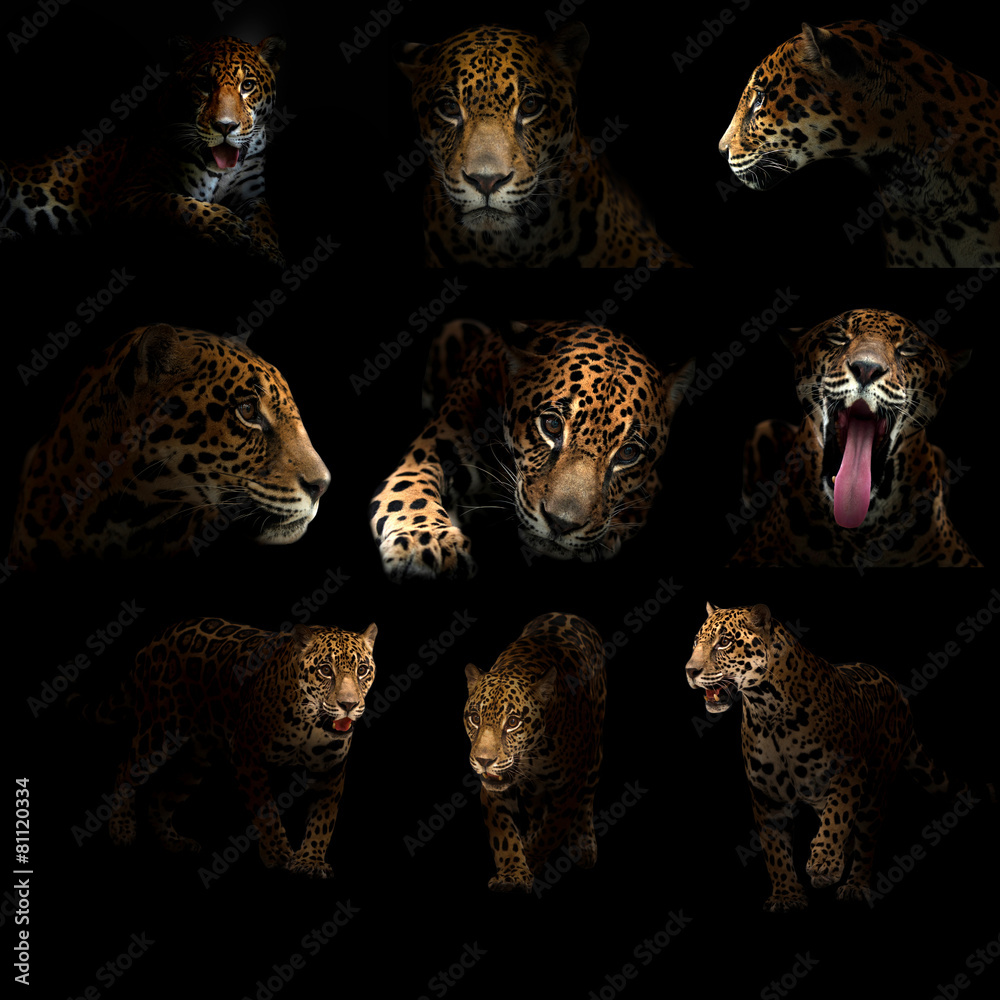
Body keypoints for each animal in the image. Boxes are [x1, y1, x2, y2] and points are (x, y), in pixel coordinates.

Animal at [1, 36, 285, 263]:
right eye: (204, 84)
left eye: (247, 86)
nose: (225, 126)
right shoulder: (129, 193)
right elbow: (176, 203)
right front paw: (223, 226)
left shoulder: (252, 194)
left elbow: (265, 214)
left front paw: (266, 249)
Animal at [104, 617, 377, 878]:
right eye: (325, 670)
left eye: (362, 670)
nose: (348, 705)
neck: (311, 723)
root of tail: (156, 639)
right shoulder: (248, 755)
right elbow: (267, 813)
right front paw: (278, 854)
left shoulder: (330, 768)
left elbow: (323, 819)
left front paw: (310, 861)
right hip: (158, 732)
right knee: (124, 770)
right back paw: (121, 829)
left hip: (195, 762)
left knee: (160, 798)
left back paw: (174, 842)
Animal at [369, 319, 693, 580]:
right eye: (551, 425)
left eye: (628, 453)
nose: (561, 524)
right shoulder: (436, 444)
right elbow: (410, 491)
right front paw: (426, 543)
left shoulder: (651, 484)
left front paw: (605, 536)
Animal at [464, 612, 605, 893]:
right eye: (475, 718)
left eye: (513, 722)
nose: (484, 761)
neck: (534, 755)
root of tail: (568, 613)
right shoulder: (494, 790)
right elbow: (504, 834)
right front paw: (513, 874)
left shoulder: (570, 786)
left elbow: (552, 829)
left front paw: (530, 859)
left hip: (594, 753)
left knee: (586, 799)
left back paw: (584, 844)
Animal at [686, 602, 972, 911]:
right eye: (696, 642)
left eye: (724, 642)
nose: (690, 670)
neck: (767, 709)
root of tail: (898, 693)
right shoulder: (767, 794)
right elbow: (775, 849)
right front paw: (787, 895)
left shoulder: (849, 769)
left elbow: (838, 815)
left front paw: (824, 864)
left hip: (876, 785)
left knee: (866, 834)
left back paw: (855, 885)